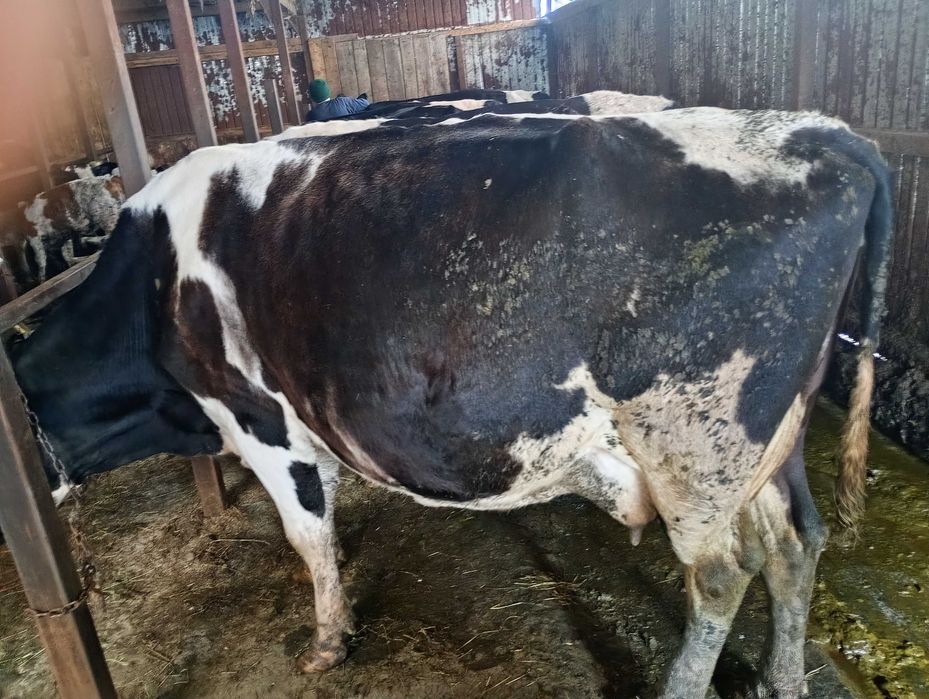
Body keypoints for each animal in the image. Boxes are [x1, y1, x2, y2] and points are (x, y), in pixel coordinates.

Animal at [11, 108, 891, 699]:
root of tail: (820, 133)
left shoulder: (263, 422)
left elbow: (307, 536)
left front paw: (326, 642)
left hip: (696, 447)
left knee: (720, 573)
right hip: (767, 449)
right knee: (793, 543)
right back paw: (782, 679)